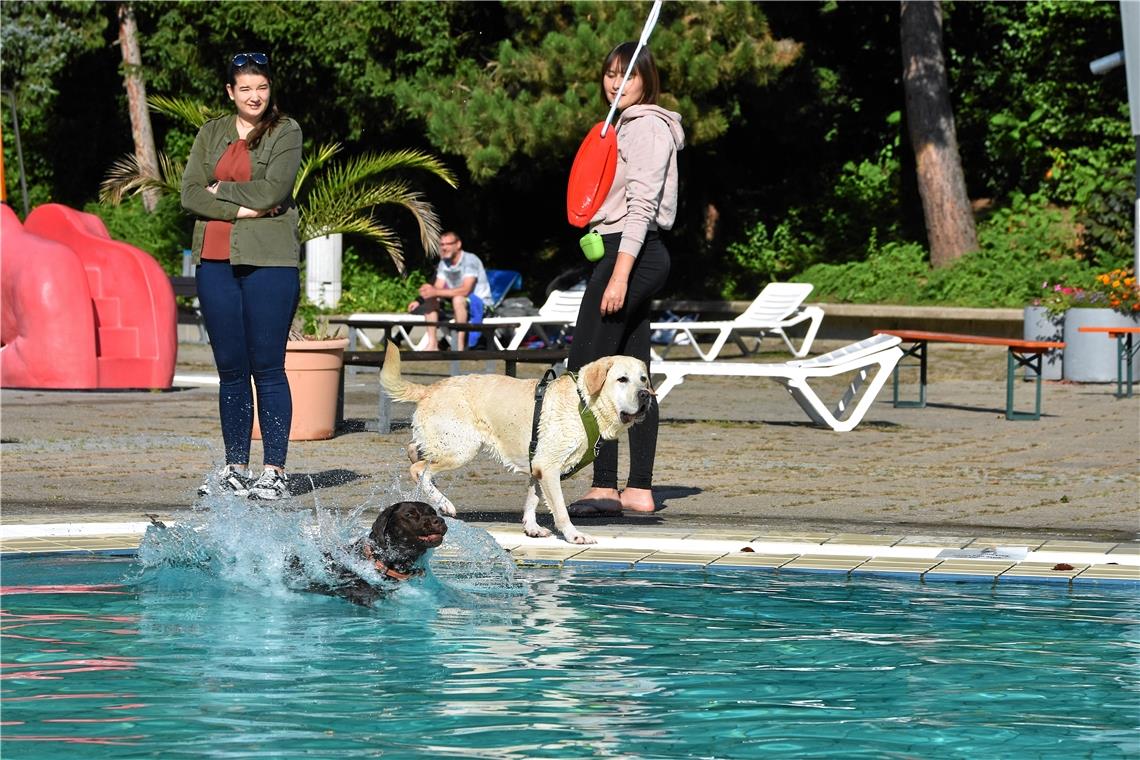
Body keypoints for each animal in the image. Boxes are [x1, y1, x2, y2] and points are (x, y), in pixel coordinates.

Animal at [380, 341, 656, 544]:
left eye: (643, 379)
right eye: (622, 379)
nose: (646, 395)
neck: (585, 404)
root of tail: (430, 388)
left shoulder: (539, 467)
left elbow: (532, 499)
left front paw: (532, 528)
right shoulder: (549, 467)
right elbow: (560, 510)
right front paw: (573, 535)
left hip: (447, 443)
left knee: (416, 452)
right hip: (462, 448)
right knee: (419, 469)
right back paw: (444, 503)